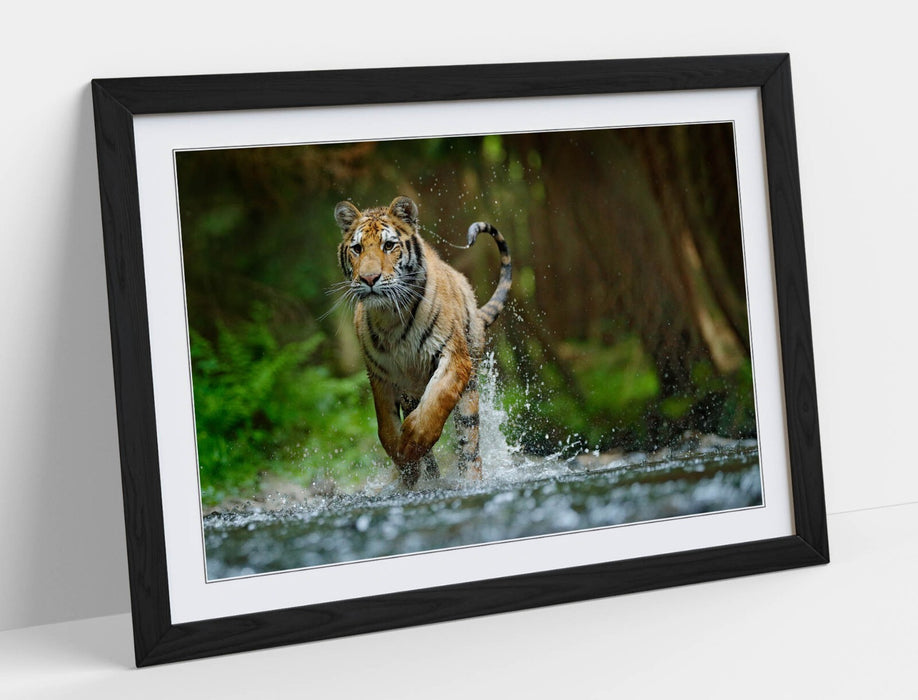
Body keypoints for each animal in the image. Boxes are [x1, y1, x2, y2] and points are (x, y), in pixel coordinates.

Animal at [334, 195, 511, 487]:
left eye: (389, 245)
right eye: (357, 249)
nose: (369, 279)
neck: (390, 316)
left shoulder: (454, 358)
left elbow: (435, 405)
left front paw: (410, 444)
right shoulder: (379, 374)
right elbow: (385, 428)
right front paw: (404, 462)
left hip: (469, 389)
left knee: (470, 446)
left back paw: (470, 481)